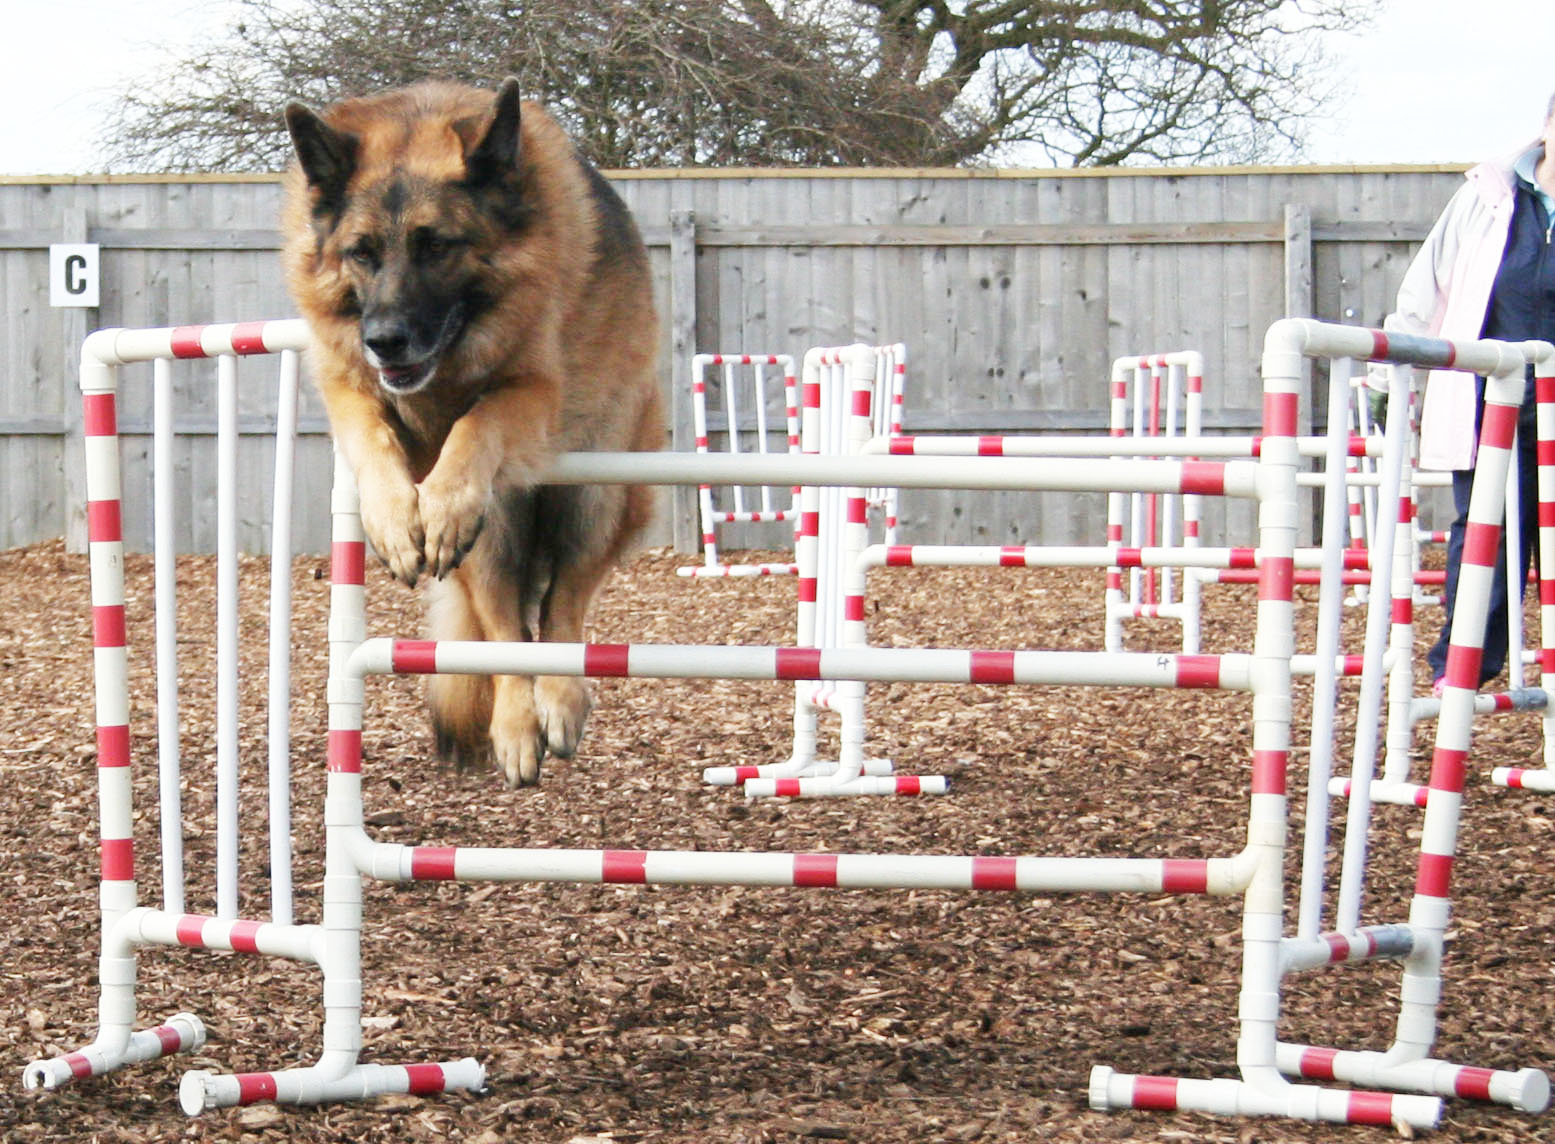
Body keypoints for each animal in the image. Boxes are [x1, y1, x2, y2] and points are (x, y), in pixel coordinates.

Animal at [283, 82, 659, 786]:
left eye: (436, 246)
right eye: (362, 253)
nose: (385, 341)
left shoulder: (532, 390)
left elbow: (477, 421)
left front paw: (445, 497)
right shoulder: (346, 385)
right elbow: (372, 436)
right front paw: (394, 521)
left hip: (596, 492)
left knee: (563, 606)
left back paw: (559, 701)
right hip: (493, 539)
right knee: (509, 632)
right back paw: (515, 726)